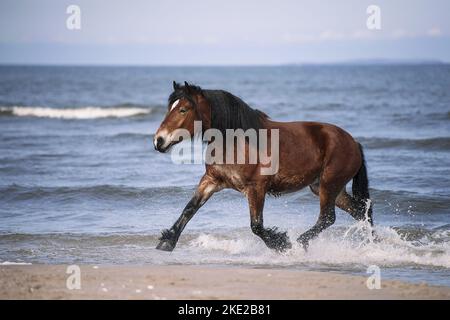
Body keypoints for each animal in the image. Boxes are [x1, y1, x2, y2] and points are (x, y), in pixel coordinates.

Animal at [153, 81, 370, 251]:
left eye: (183, 109)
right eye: (170, 108)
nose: (159, 141)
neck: (236, 142)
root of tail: (353, 142)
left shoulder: (256, 188)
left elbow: (256, 225)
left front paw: (281, 243)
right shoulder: (211, 180)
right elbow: (189, 209)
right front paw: (167, 242)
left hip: (328, 185)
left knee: (328, 218)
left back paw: (300, 242)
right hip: (327, 188)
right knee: (360, 212)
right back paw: (372, 245)